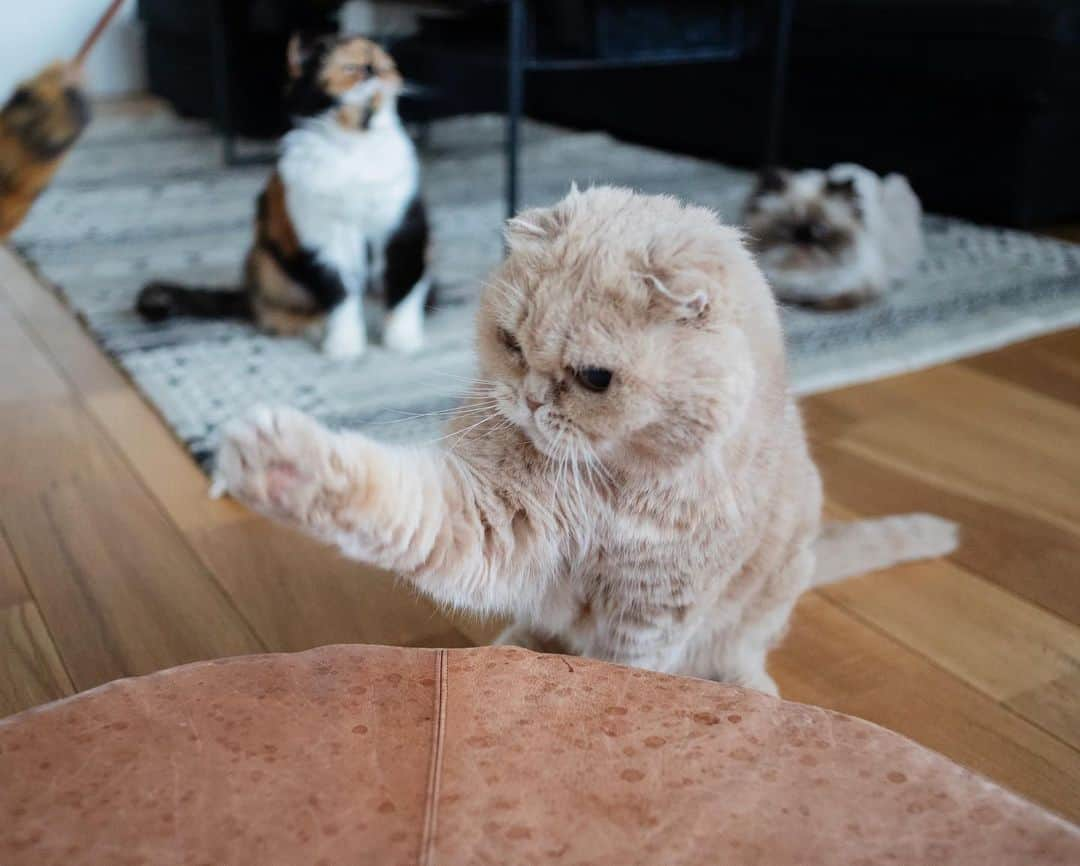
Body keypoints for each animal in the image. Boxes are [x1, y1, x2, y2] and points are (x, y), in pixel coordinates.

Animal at [137, 34, 432, 354]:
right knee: (267, 311)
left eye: (386, 66)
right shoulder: (321, 237)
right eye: (351, 68)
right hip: (267, 263)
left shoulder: (405, 225)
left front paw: (403, 340)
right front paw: (344, 346)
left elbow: (404, 286)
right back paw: (313, 325)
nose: (374, 71)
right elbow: (338, 294)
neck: (354, 144)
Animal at [210, 183, 954, 695]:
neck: (618, 486)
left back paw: (754, 694)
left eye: (595, 378)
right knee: (538, 626)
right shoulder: (494, 517)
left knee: (741, 653)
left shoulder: (657, 611)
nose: (531, 398)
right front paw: (280, 463)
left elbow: (630, 668)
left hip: (769, 595)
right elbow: (391, 498)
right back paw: (505, 650)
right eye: (511, 344)